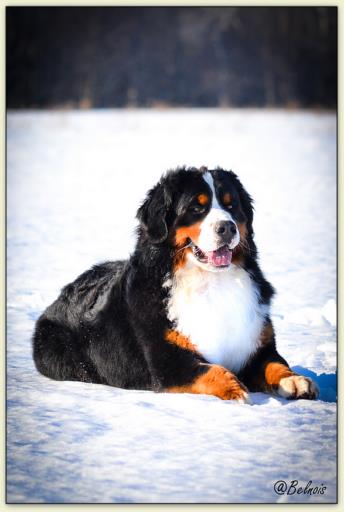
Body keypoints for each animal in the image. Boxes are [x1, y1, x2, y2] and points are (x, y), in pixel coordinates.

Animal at [33, 166, 318, 402]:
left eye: (232, 205)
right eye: (196, 208)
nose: (227, 227)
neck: (210, 282)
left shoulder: (257, 343)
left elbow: (275, 364)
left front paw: (295, 381)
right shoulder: (168, 361)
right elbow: (211, 370)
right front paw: (236, 389)